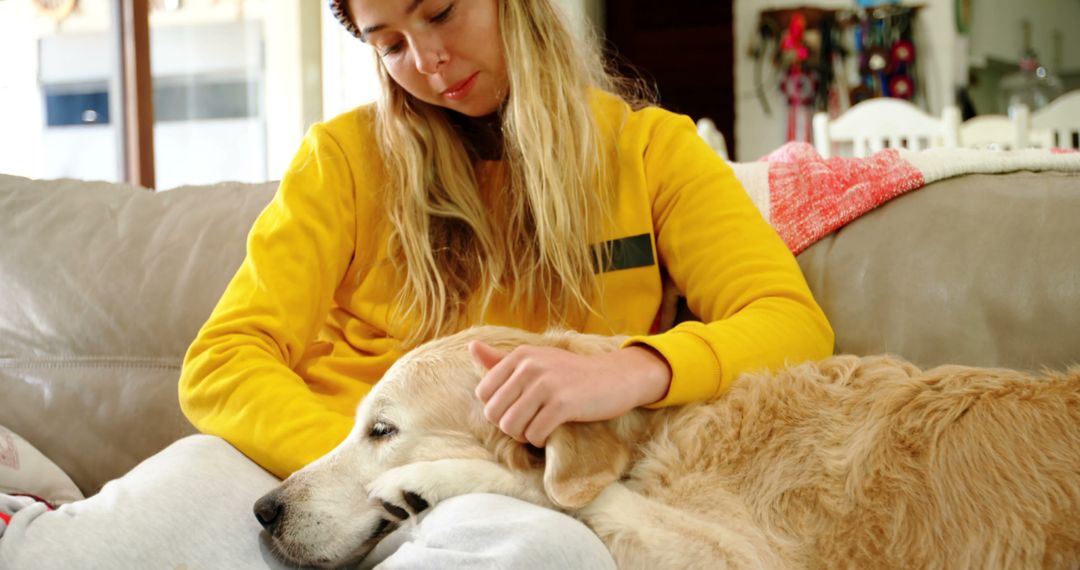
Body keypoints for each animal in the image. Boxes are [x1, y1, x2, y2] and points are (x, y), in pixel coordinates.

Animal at [254, 328, 1080, 565]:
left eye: (382, 431)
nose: (263, 510)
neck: (653, 436)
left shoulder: (747, 560)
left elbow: (565, 493)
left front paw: (428, 480)